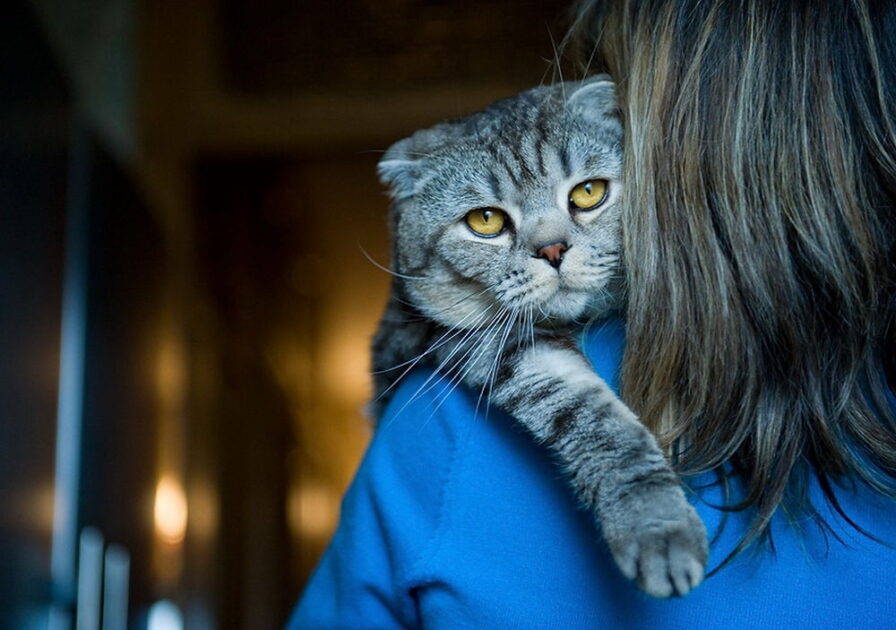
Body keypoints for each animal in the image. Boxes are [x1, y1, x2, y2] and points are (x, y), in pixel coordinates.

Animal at [372, 76, 708, 600]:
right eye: (485, 221)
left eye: (588, 192)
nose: (552, 250)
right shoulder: (487, 343)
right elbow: (596, 420)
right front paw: (656, 525)